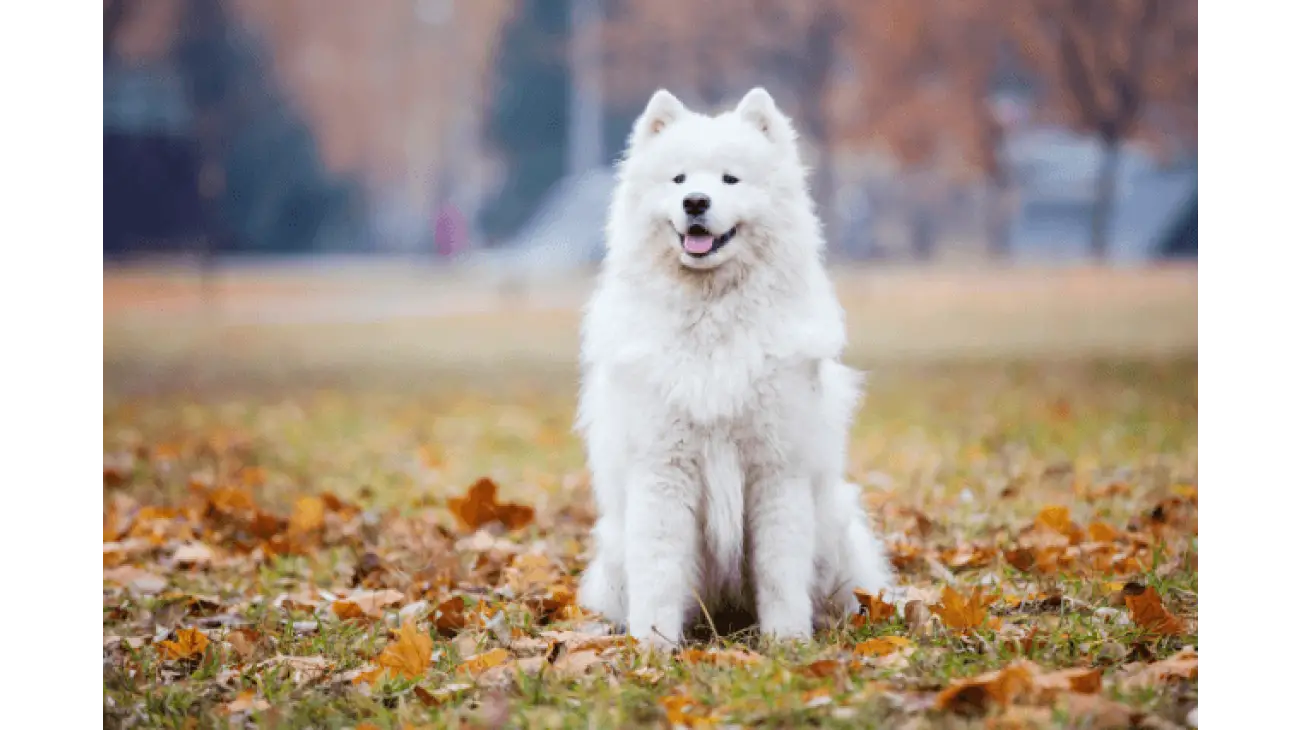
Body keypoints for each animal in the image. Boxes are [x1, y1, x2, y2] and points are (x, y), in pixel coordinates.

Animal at [577, 86, 894, 646]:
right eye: (679, 179)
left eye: (730, 179)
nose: (695, 203)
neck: (712, 317)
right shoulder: (664, 468)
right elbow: (659, 571)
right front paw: (652, 647)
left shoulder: (776, 469)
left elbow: (779, 569)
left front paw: (787, 643)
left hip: (835, 533)